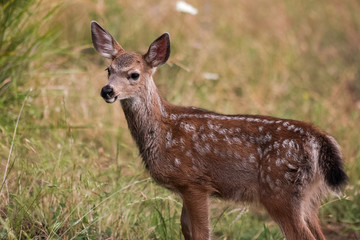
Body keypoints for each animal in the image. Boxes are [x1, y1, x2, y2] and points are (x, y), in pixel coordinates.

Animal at [90, 21, 348, 240]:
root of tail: (319, 138)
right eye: (108, 69)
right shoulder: (188, 188)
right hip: (309, 197)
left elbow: (201, 233)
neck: (162, 130)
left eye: (134, 74)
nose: (107, 91)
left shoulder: (195, 182)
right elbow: (187, 230)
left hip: (279, 191)